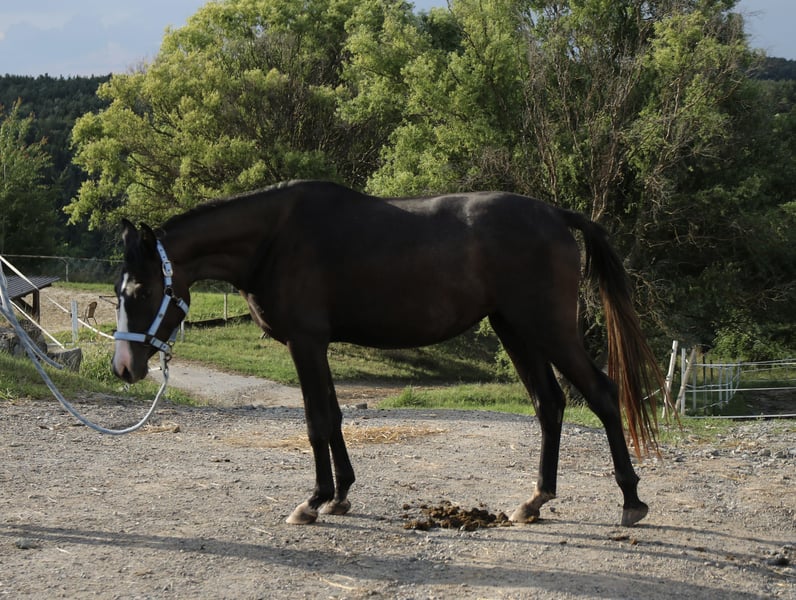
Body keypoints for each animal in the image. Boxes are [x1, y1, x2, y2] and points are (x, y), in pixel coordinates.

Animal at [111, 180, 665, 527]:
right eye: (118, 291)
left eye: (141, 291)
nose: (123, 367)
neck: (274, 237)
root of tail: (554, 213)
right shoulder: (316, 346)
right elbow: (334, 417)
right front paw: (339, 496)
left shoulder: (306, 343)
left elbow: (316, 421)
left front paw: (312, 501)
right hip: (516, 329)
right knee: (548, 404)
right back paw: (534, 501)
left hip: (547, 328)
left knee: (601, 394)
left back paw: (632, 499)